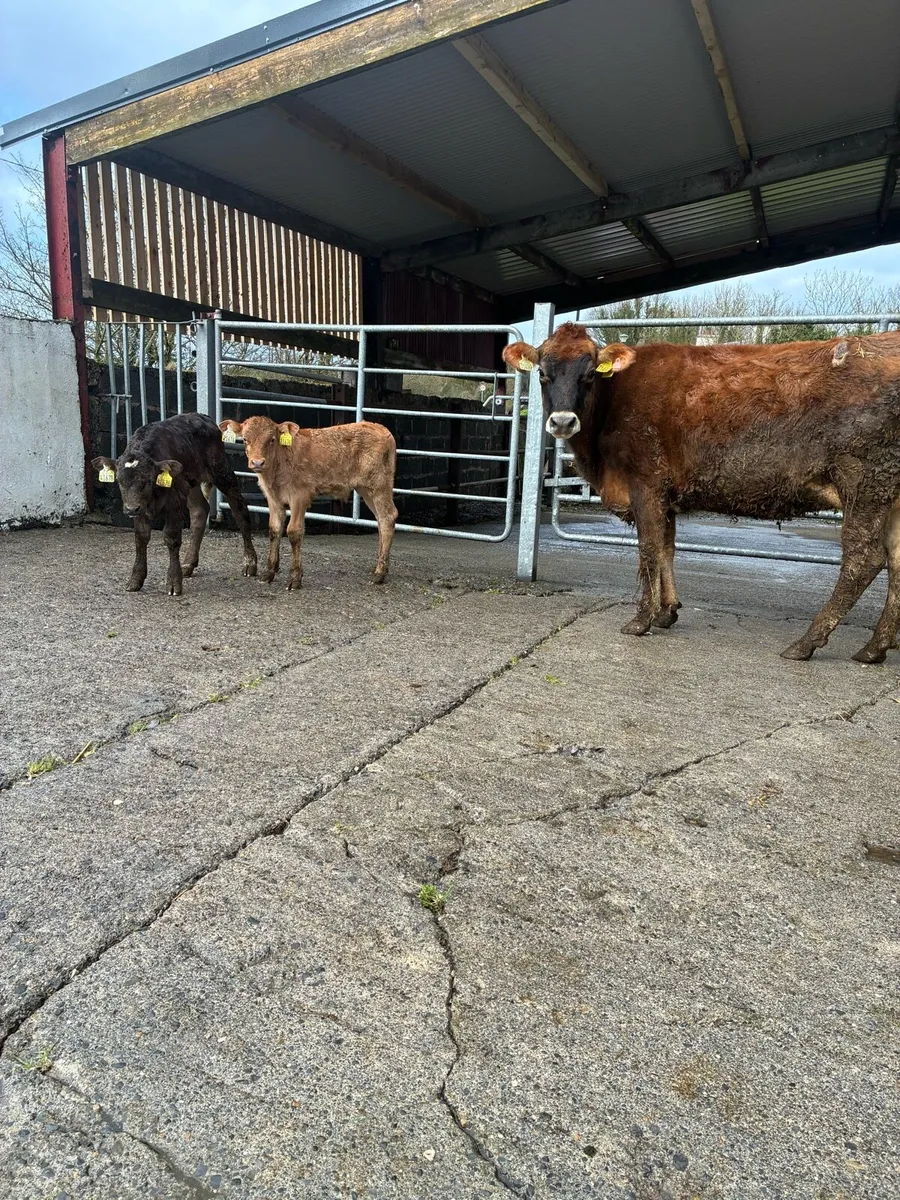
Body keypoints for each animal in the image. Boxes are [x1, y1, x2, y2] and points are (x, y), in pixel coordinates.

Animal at [92, 412, 257, 595]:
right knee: (200, 510)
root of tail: (204, 417)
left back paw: (250, 562)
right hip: (190, 482)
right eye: (119, 481)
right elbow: (141, 538)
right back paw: (188, 563)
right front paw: (135, 579)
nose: (130, 509)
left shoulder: (175, 501)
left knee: (239, 509)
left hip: (221, 470)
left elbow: (171, 538)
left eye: (147, 481)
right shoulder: (143, 507)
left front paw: (173, 582)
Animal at [218, 416, 397, 589]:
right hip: (365, 489)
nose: (257, 463)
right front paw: (269, 573)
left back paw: (379, 573)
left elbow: (293, 531)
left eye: (272, 439)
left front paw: (295, 578)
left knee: (388, 517)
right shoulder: (273, 498)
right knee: (379, 519)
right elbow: (274, 529)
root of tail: (380, 428)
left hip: (378, 484)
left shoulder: (300, 495)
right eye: (245, 439)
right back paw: (379, 567)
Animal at [503, 324, 900, 664]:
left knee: (863, 560)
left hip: (863, 481)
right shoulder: (666, 495)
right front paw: (666, 612)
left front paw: (641, 619)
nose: (562, 421)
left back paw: (806, 642)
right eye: (542, 373)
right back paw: (874, 648)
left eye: (588, 374)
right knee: (895, 561)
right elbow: (667, 549)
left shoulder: (646, 484)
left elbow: (649, 549)